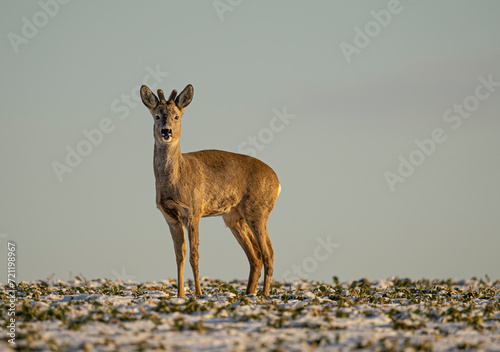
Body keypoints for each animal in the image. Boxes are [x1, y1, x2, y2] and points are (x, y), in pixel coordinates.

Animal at [142, 85, 282, 296]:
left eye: (176, 116)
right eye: (157, 116)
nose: (166, 131)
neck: (175, 179)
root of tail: (278, 182)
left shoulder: (193, 211)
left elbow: (194, 254)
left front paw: (199, 293)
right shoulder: (170, 216)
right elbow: (179, 255)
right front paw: (180, 294)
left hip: (258, 211)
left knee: (268, 253)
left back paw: (264, 295)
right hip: (234, 217)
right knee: (256, 256)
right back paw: (249, 294)